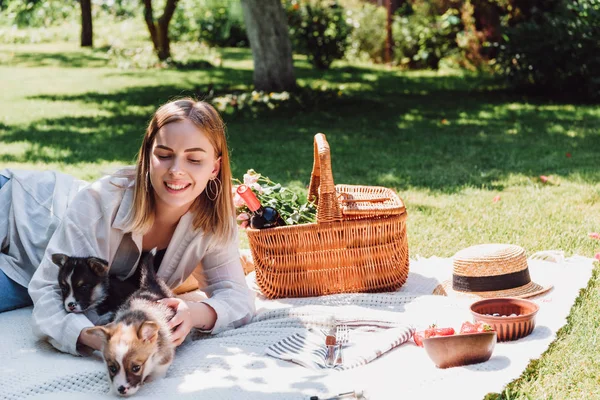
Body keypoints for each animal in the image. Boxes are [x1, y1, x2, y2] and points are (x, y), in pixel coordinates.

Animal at [86, 252, 176, 396]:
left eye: (136, 368)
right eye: (112, 368)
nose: (121, 390)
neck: (131, 321)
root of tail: (150, 285)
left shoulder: (164, 358)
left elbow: (157, 374)